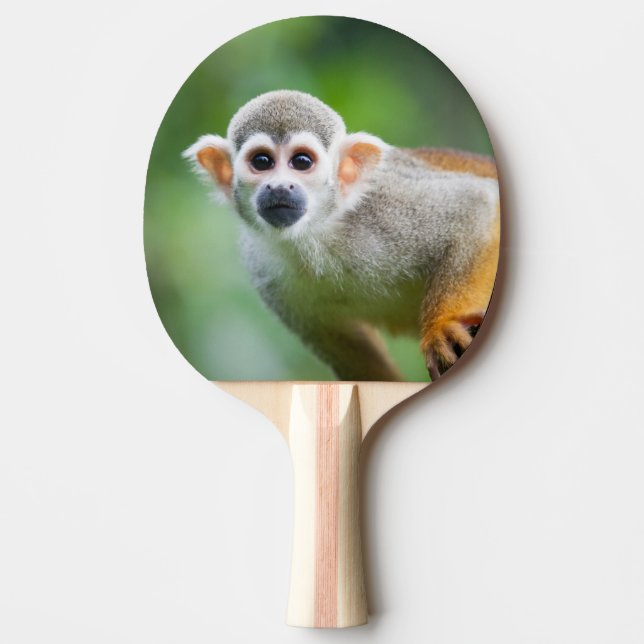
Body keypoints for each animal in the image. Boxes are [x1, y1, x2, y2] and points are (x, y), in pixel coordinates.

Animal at [184, 90, 499, 381]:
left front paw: (442, 327)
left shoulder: (386, 207)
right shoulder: (263, 267)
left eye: (301, 161)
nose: (279, 187)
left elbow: (474, 205)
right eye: (262, 161)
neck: (316, 233)